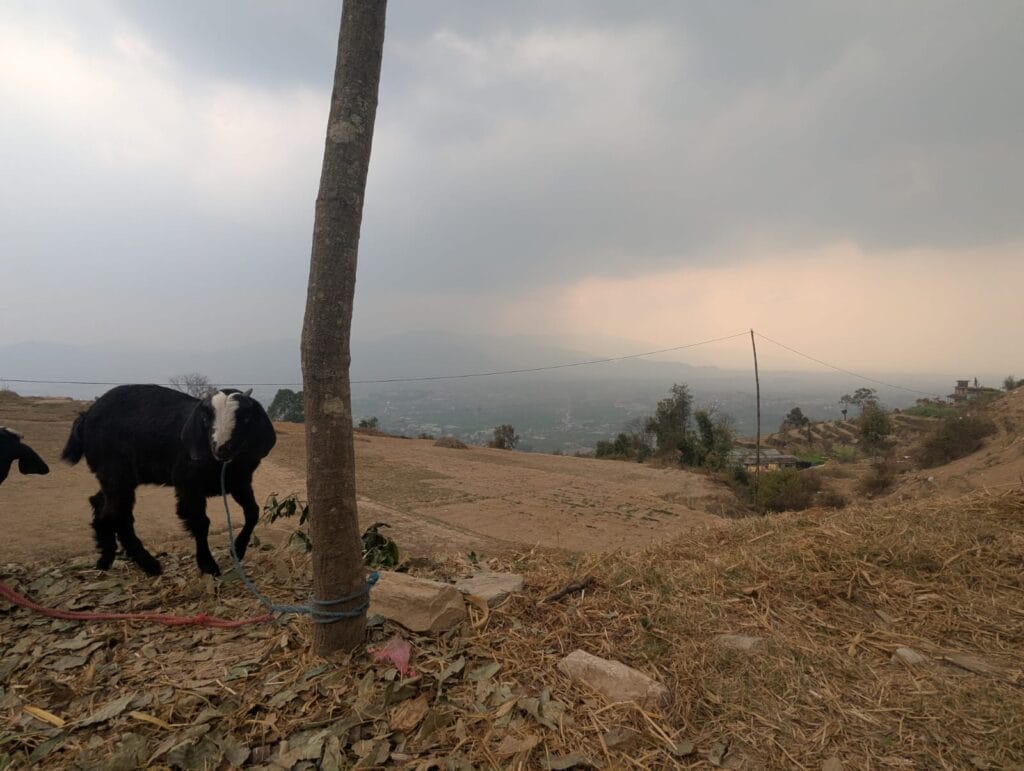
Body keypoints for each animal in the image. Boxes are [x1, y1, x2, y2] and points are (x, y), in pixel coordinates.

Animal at [61, 382, 274, 573]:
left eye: (246, 417)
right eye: (206, 417)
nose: (221, 448)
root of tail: (86, 417)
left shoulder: (240, 482)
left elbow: (253, 512)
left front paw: (238, 549)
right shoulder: (188, 485)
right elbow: (200, 522)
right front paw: (208, 565)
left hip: (119, 477)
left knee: (102, 504)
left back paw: (107, 558)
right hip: (114, 472)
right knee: (116, 515)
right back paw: (147, 564)